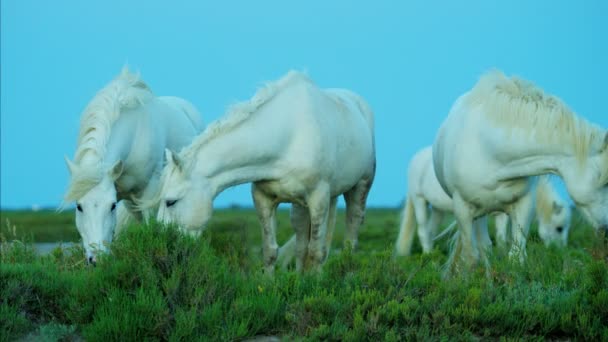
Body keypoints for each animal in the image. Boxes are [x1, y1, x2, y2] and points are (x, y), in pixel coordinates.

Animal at [62, 68, 204, 264]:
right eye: (79, 206)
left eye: (112, 206)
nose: (97, 260)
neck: (135, 135)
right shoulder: (129, 199)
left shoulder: (148, 193)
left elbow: (150, 226)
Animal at [154, 71, 376, 274]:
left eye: (171, 202)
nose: (162, 243)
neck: (288, 136)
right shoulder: (263, 198)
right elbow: (271, 251)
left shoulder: (319, 198)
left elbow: (316, 252)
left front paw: (315, 286)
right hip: (300, 206)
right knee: (301, 243)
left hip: (360, 186)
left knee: (350, 237)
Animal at [396, 146, 572, 255]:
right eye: (559, 228)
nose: (560, 250)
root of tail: (416, 158)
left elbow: (502, 235)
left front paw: (501, 253)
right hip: (419, 200)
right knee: (422, 230)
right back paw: (428, 255)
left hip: (437, 209)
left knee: (431, 230)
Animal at [432, 69, 608, 272]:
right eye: (605, 182)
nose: (606, 232)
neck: (491, 152)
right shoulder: (462, 209)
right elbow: (470, 258)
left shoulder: (524, 205)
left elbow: (516, 256)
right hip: (476, 215)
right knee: (482, 249)